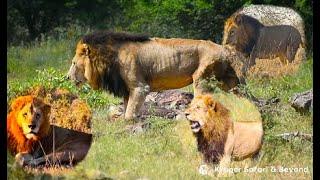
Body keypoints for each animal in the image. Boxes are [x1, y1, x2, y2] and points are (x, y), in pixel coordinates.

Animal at [67, 30, 241, 121]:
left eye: (74, 63)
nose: (67, 78)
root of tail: (225, 49)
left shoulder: (140, 87)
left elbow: (129, 114)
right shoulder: (127, 90)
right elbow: (127, 108)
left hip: (201, 78)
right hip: (229, 82)